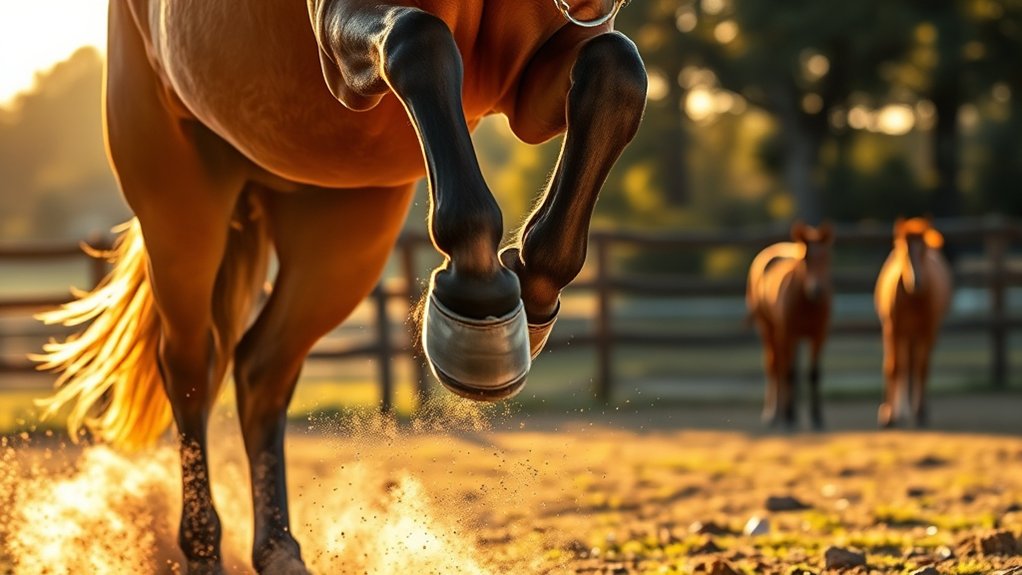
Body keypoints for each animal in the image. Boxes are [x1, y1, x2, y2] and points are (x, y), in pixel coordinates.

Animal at [32, 1, 647, 572]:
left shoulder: (534, 83)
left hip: (340, 242)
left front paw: (529, 299)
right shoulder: (348, 39)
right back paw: (204, 550)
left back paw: (279, 551)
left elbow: (617, 71)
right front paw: (478, 298)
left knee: (261, 370)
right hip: (182, 211)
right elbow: (418, 41)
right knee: (189, 368)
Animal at [746, 222, 833, 430]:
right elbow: (790, 372)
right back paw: (773, 414)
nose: (816, 290)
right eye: (805, 259)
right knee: (774, 367)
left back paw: (781, 412)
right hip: (769, 330)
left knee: (782, 366)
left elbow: (813, 374)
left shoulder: (819, 336)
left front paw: (817, 416)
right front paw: (790, 415)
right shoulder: (790, 334)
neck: (807, 302)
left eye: (826, 257)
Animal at [874, 217, 952, 428]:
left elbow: (921, 368)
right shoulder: (893, 329)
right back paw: (901, 410)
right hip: (904, 334)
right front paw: (889, 416)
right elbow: (893, 368)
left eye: (923, 250)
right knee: (903, 366)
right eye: (904, 249)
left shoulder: (928, 331)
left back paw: (915, 409)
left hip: (918, 334)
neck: (912, 298)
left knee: (914, 366)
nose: (916, 282)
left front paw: (920, 412)